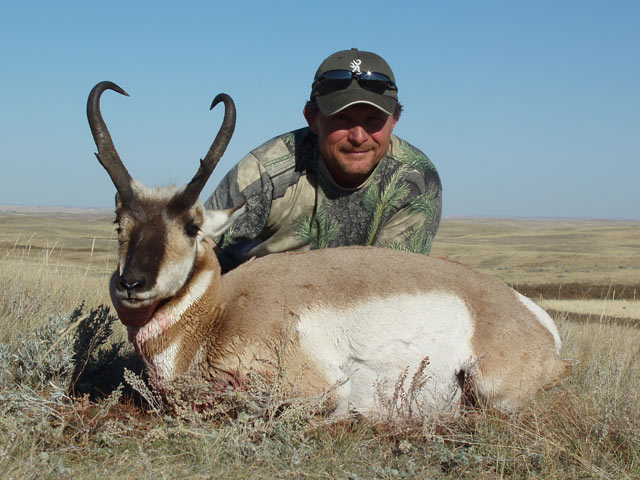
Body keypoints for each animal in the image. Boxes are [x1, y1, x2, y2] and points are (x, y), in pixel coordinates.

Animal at [88, 81, 570, 418]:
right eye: (119, 223)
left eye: (191, 227)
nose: (132, 283)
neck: (217, 311)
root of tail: (530, 313)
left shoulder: (316, 389)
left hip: (492, 390)